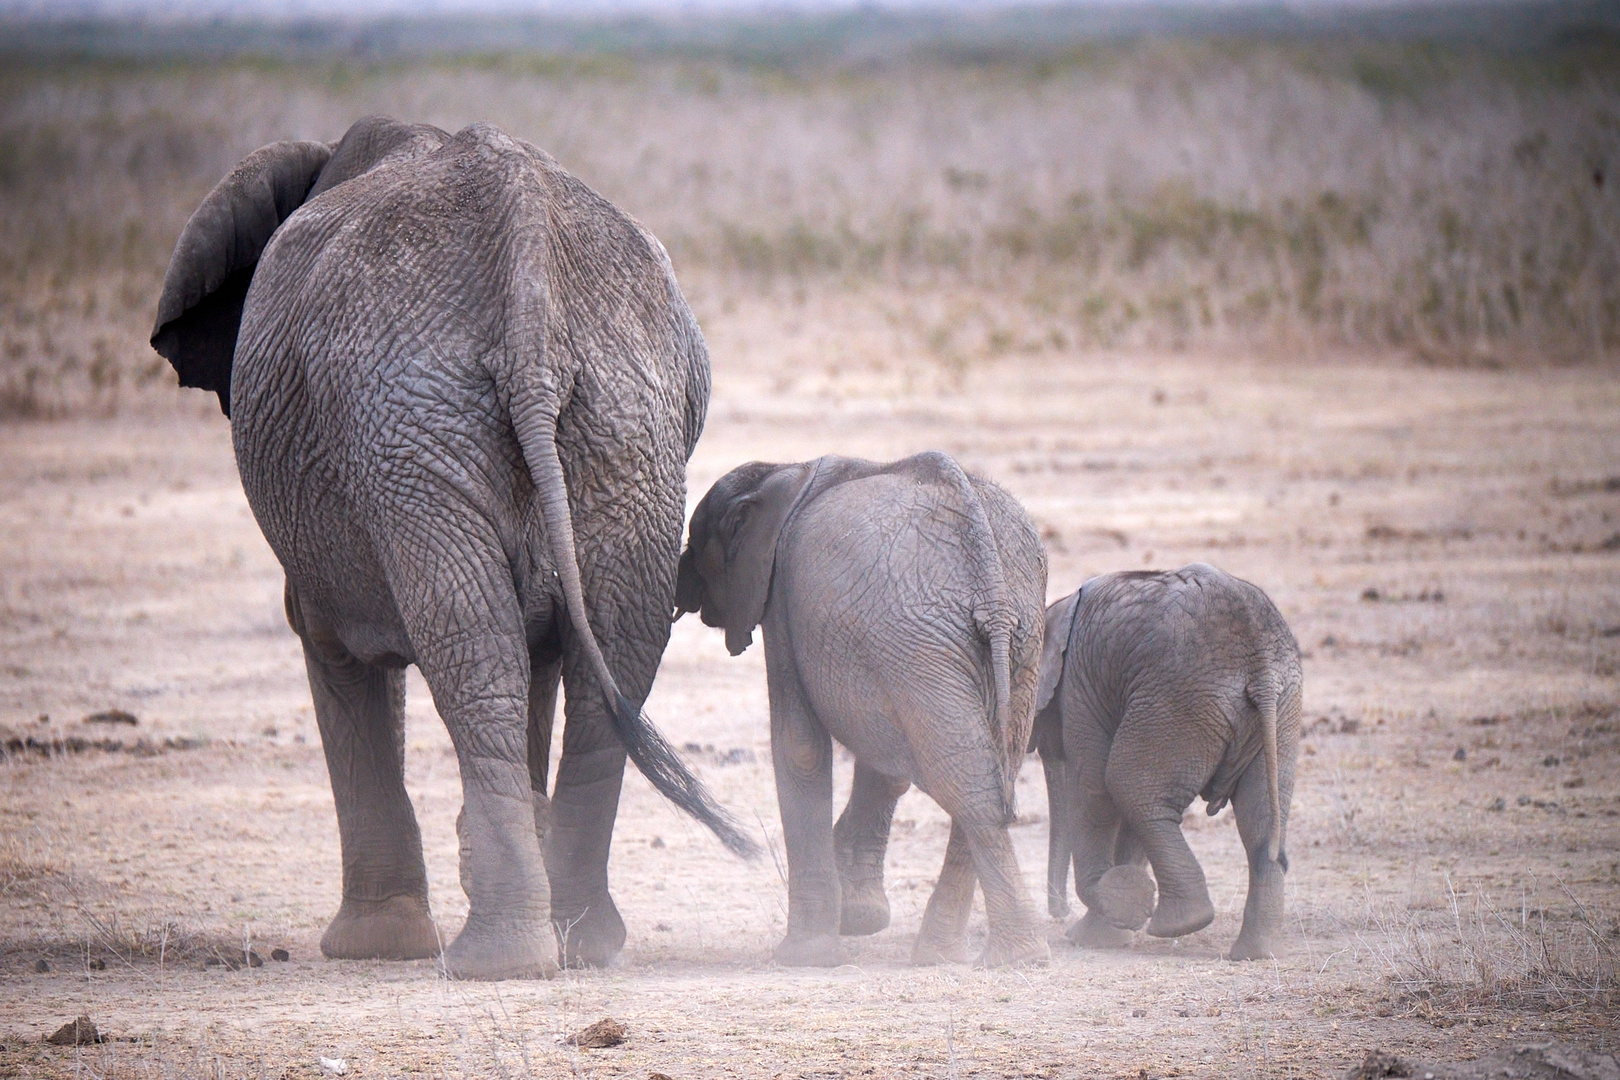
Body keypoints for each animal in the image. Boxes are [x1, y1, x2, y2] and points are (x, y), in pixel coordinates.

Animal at [152, 116, 751, 977]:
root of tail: (528, 273)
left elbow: (332, 649)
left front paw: (374, 949)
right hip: (624, 422)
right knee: (609, 653)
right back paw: (577, 944)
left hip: (408, 426)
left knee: (473, 646)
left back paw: (496, 960)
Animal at [673, 453, 1043, 965]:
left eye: (696, 541)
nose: (678, 592)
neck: (786, 471)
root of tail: (990, 586)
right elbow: (883, 766)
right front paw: (858, 919)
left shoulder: (781, 597)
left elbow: (799, 746)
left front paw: (806, 955)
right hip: (1009, 641)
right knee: (990, 771)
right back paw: (959, 955)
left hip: (920, 641)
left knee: (966, 782)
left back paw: (1008, 957)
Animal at [1036, 566, 1302, 965]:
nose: (1058, 911)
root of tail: (1262, 669)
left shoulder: (1083, 686)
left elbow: (1093, 787)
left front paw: (1099, 927)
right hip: (1279, 708)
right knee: (1260, 822)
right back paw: (1256, 953)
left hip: (1179, 699)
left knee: (1128, 785)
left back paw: (1180, 925)